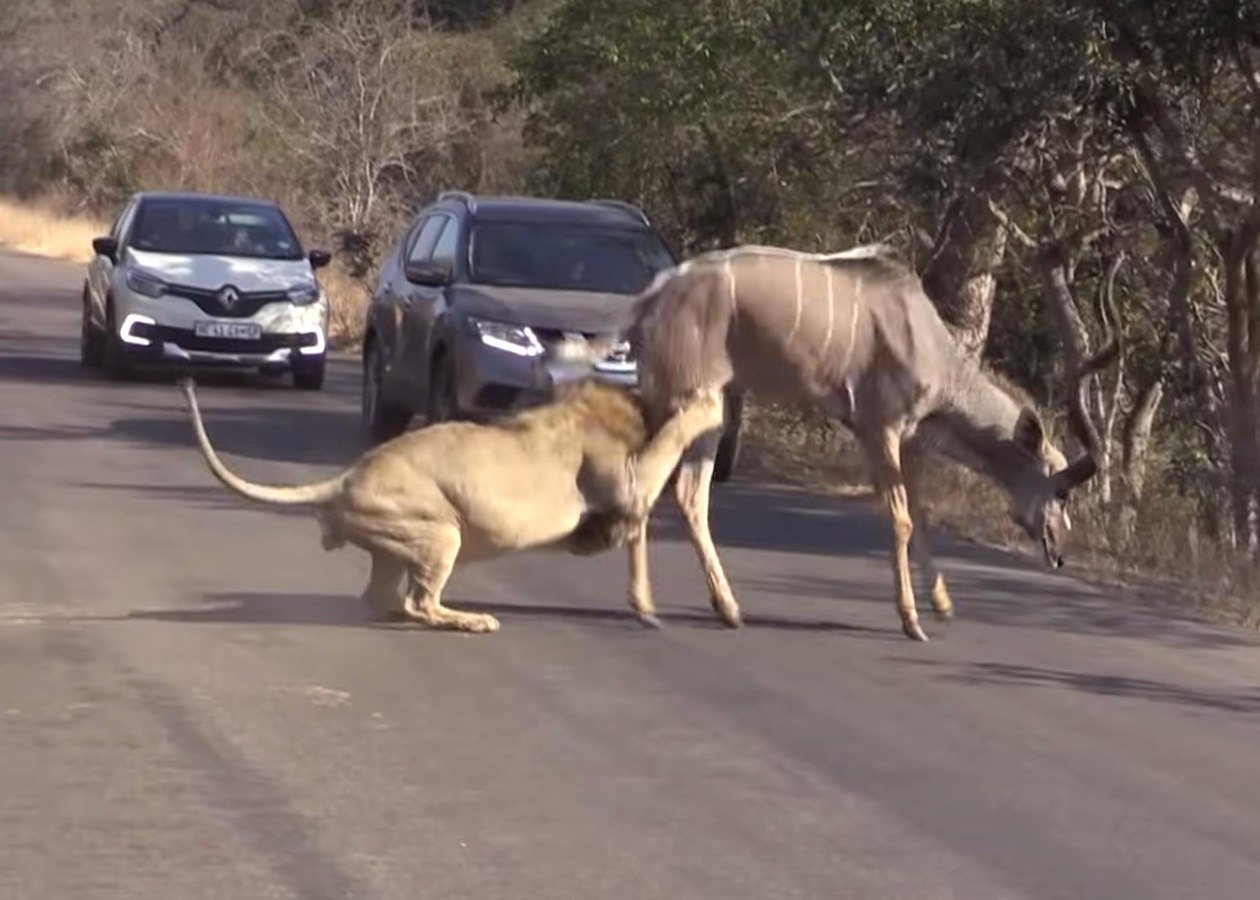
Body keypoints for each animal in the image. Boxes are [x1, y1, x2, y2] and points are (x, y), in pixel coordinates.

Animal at [178, 370, 730, 630]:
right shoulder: (629, 481)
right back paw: (472, 620)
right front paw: (705, 405)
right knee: (420, 601)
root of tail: (347, 477)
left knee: (383, 597)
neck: (584, 406)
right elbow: (668, 441)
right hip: (442, 532)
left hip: (397, 541)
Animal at [546, 242, 1118, 640]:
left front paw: (942, 604)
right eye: (1061, 489)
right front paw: (912, 620)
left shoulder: (907, 438)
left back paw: (725, 608)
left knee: (687, 494)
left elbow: (922, 514)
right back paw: (647, 607)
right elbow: (901, 517)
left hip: (706, 407)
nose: (1059, 552)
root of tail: (654, 295)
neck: (934, 349)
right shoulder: (879, 428)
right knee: (648, 475)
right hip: (686, 397)